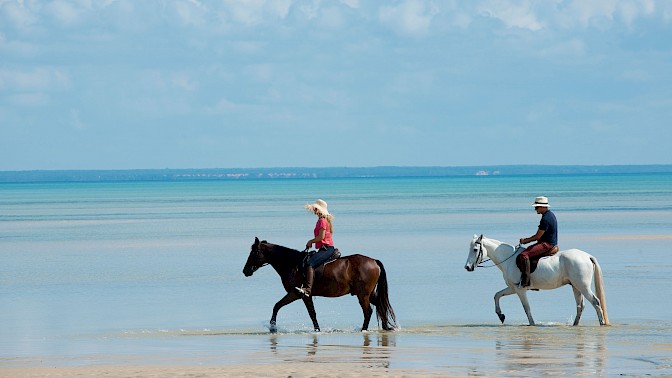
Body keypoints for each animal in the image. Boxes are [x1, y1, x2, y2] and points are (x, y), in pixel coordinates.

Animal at [244, 238, 396, 332]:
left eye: (254, 252)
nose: (245, 271)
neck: (291, 264)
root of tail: (374, 261)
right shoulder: (298, 294)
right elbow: (277, 306)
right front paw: (272, 327)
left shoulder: (299, 294)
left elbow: (311, 313)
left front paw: (273, 328)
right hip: (368, 293)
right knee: (380, 305)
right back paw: (386, 327)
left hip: (363, 295)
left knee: (368, 311)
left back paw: (364, 329)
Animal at [462, 233, 608, 324]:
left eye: (475, 249)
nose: (467, 267)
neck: (509, 260)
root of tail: (587, 256)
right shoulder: (512, 288)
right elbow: (497, 295)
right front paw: (501, 315)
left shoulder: (520, 290)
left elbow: (527, 308)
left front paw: (532, 324)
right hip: (576, 287)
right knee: (580, 306)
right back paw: (575, 324)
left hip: (583, 286)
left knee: (595, 302)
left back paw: (601, 323)